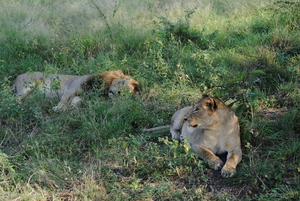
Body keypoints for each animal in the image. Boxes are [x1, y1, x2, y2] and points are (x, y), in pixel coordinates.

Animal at [13, 70, 141, 111]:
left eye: (126, 95)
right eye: (122, 83)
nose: (119, 93)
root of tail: (16, 77)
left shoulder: (81, 95)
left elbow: (76, 101)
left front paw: (72, 108)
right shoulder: (73, 87)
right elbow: (64, 99)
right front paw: (59, 108)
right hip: (28, 85)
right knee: (14, 100)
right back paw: (20, 107)